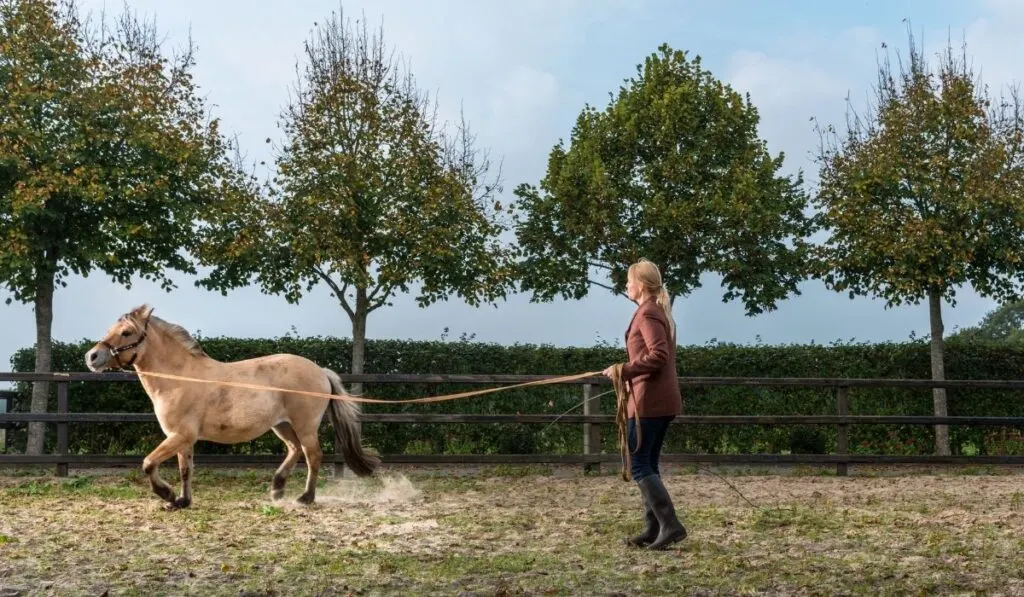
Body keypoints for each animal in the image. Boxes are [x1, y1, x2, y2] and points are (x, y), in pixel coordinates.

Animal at [84, 304, 380, 509]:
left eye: (127, 332)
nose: (92, 357)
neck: (180, 378)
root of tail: (320, 371)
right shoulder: (182, 439)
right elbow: (185, 469)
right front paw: (181, 501)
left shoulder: (180, 435)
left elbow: (148, 464)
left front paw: (167, 495)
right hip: (282, 425)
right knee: (294, 450)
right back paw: (276, 488)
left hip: (305, 425)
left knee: (313, 455)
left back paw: (305, 498)